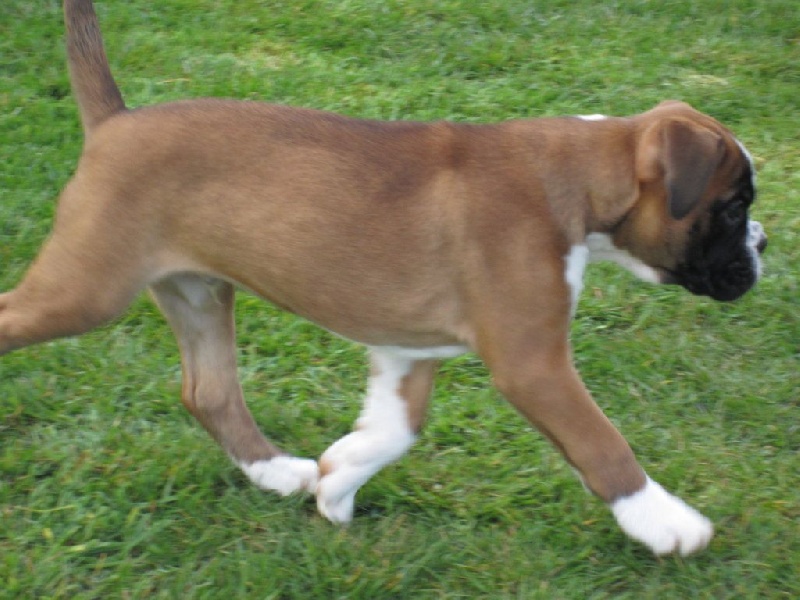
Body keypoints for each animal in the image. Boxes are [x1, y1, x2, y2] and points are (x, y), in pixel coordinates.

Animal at [3, 0, 767, 556]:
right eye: (733, 209)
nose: (763, 246)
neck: (574, 182)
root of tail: (115, 121)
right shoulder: (533, 365)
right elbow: (601, 444)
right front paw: (666, 523)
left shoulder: (407, 352)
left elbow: (394, 432)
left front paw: (335, 484)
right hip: (87, 290)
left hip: (198, 291)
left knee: (209, 393)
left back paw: (278, 472)